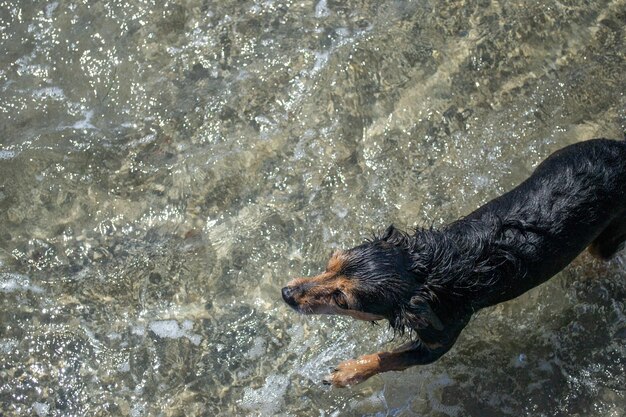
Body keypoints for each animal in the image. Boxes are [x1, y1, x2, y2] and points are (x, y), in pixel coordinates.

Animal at [282, 138, 624, 386]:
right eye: (330, 263)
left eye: (342, 300)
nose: (286, 294)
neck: (431, 271)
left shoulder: (439, 339)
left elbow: (389, 358)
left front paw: (349, 372)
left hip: (610, 235)